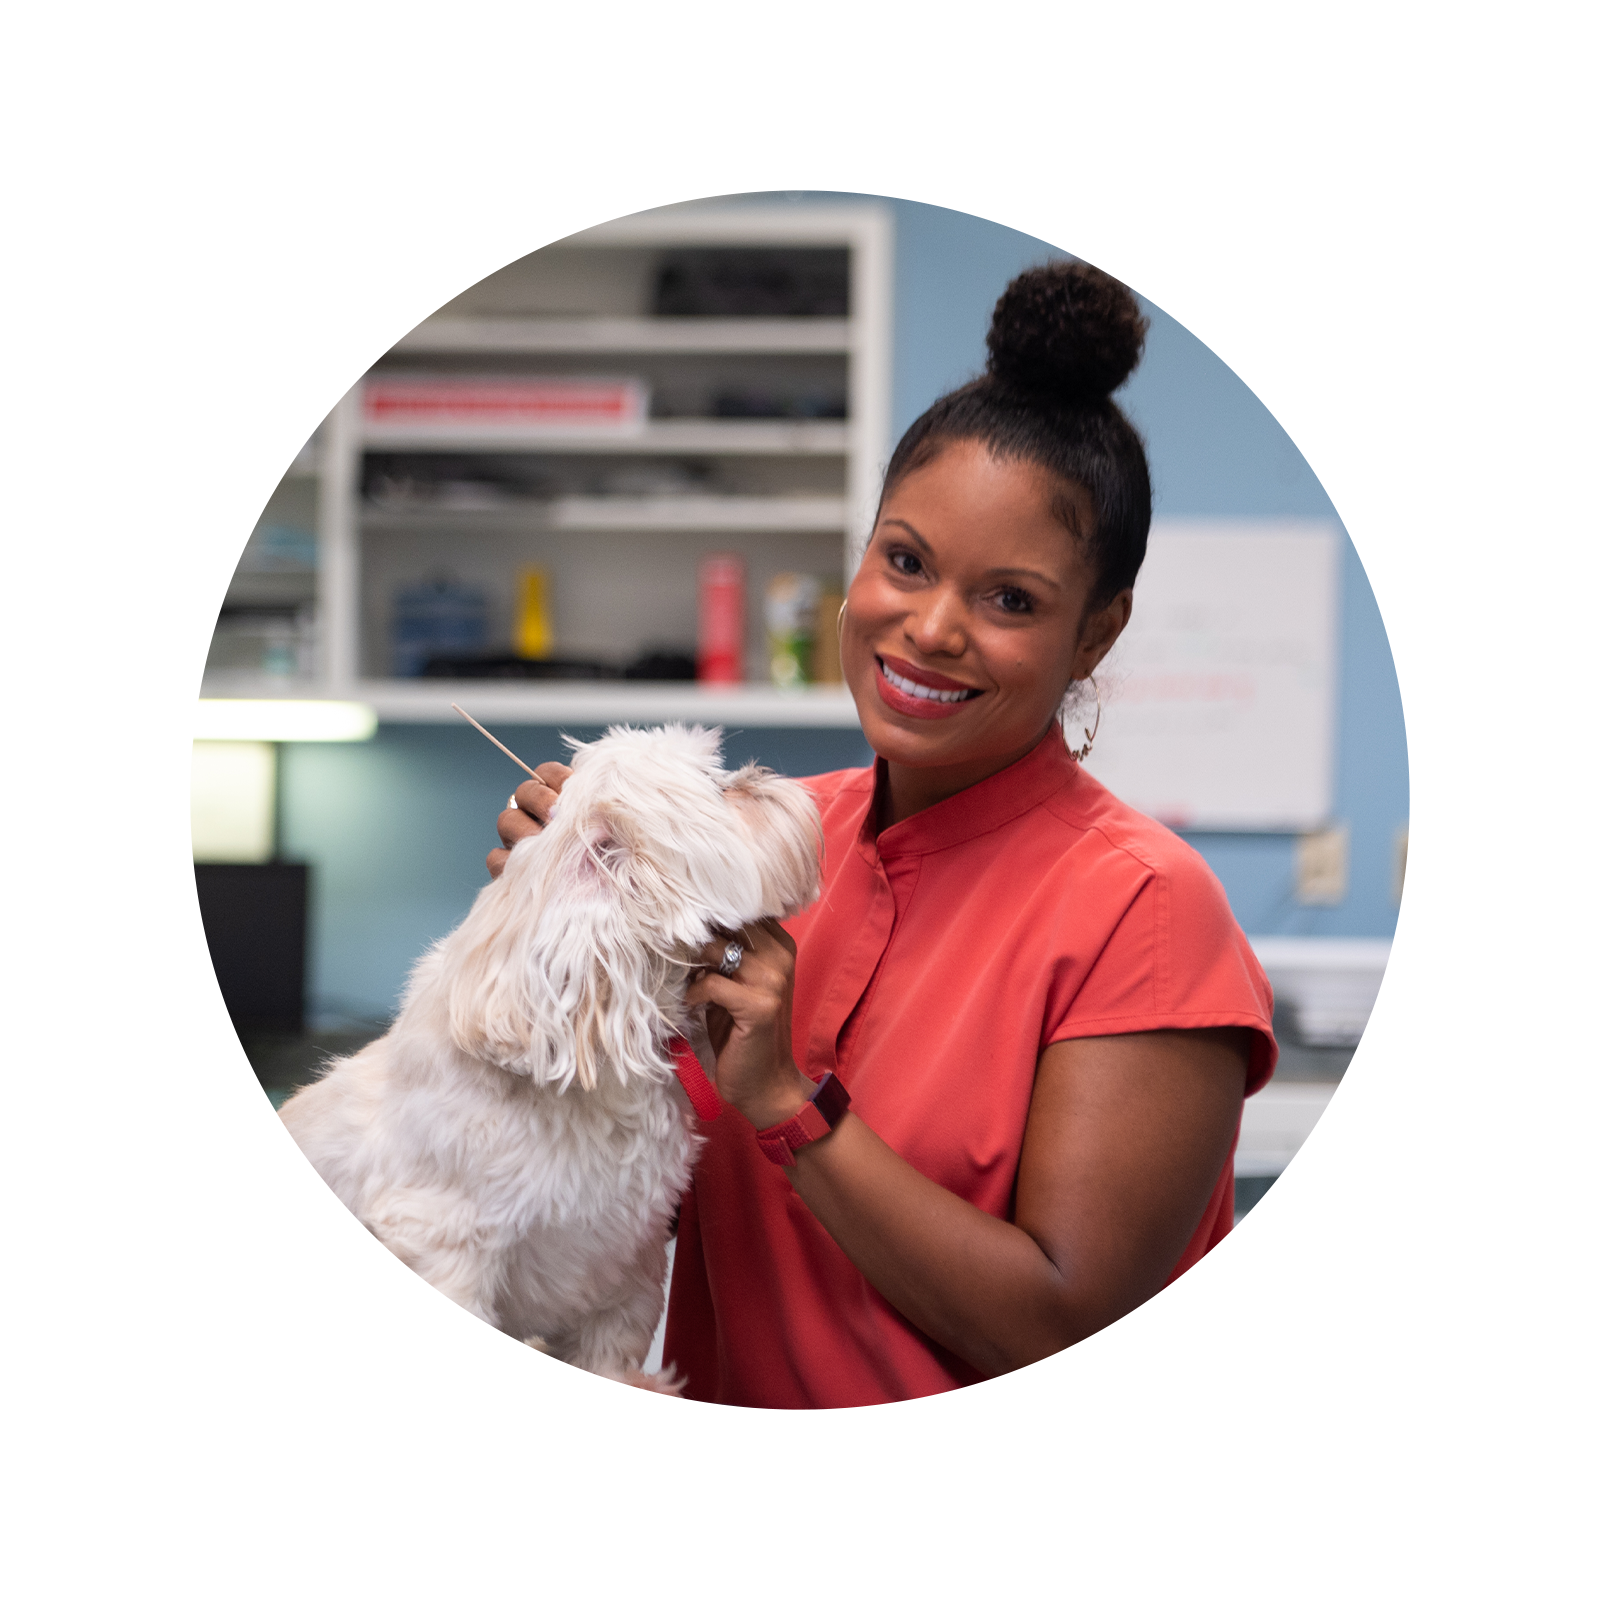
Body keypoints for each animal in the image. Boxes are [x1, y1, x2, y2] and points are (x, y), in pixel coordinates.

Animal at [192, 729, 819, 1414]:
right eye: (717, 785)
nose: (769, 775)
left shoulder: (629, 1235)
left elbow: (618, 1322)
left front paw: (617, 1390)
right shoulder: (437, 1225)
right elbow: (451, 1319)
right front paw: (470, 1399)